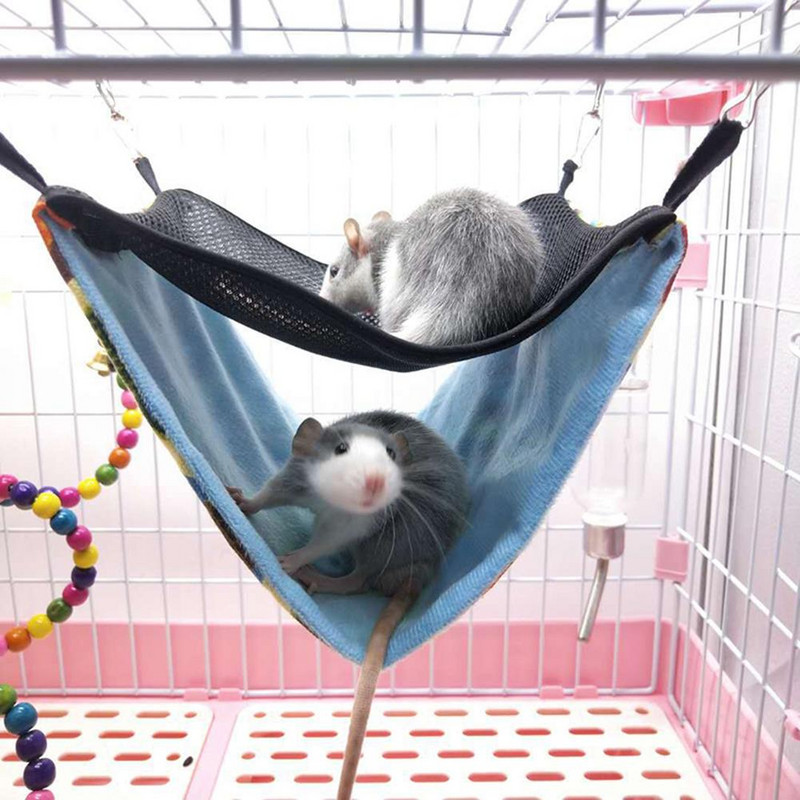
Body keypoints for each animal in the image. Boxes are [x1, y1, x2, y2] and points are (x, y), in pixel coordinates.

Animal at [227, 411, 469, 800]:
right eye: (341, 449)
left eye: (390, 455)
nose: (375, 481)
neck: (336, 505)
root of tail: (419, 571)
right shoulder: (299, 474)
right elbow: (272, 491)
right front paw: (245, 502)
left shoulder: (357, 523)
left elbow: (325, 542)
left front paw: (294, 561)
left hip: (385, 541)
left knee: (359, 579)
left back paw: (320, 577)